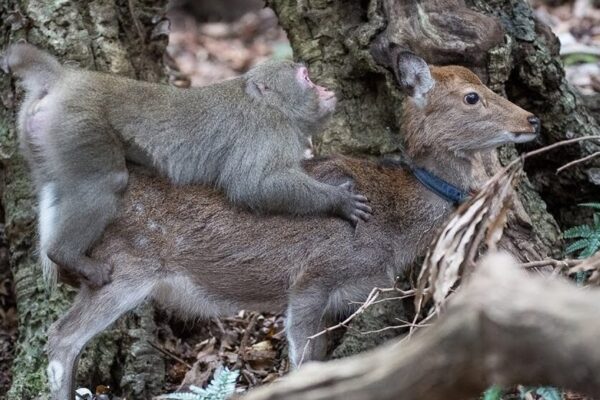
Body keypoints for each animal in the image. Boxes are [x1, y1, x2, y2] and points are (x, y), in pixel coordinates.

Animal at [3, 43, 370, 288]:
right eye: (305, 77)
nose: (325, 88)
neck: (272, 106)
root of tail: (66, 79)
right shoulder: (267, 131)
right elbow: (251, 186)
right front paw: (338, 200)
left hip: (41, 134)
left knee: (54, 186)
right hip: (78, 124)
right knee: (107, 182)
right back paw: (67, 255)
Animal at [44, 51, 536, 398]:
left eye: (484, 84)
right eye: (472, 97)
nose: (530, 119)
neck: (391, 224)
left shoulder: (341, 298)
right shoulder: (312, 279)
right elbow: (302, 366)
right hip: (123, 267)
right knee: (61, 337)